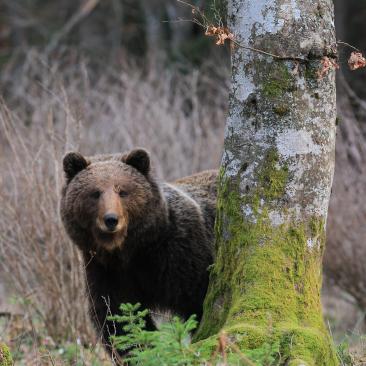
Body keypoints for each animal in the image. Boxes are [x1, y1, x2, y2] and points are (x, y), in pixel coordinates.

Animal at [60, 148, 217, 358]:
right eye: (95, 193)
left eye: (122, 191)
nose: (111, 219)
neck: (131, 250)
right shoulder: (106, 270)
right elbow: (118, 317)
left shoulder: (180, 252)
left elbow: (199, 298)